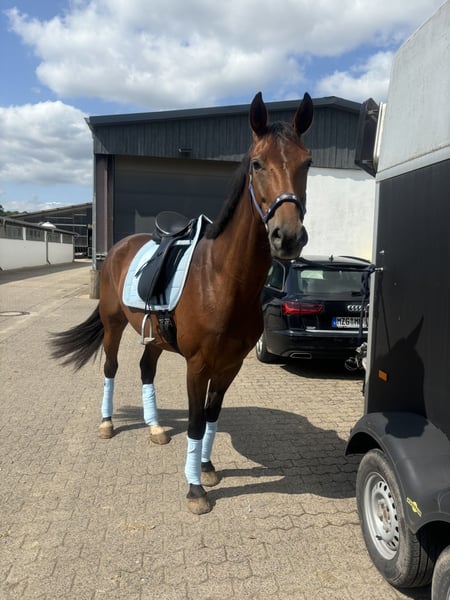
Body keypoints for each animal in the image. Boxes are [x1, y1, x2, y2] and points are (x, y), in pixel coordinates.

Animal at [50, 91, 314, 514]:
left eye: (307, 162)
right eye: (257, 163)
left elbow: (211, 417)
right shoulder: (198, 365)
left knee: (145, 369)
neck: (223, 279)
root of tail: (119, 247)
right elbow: (193, 421)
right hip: (112, 325)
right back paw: (107, 423)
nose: (287, 236)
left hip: (155, 338)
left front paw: (205, 468)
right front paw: (195, 490)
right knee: (111, 368)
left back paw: (156, 426)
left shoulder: (230, 366)